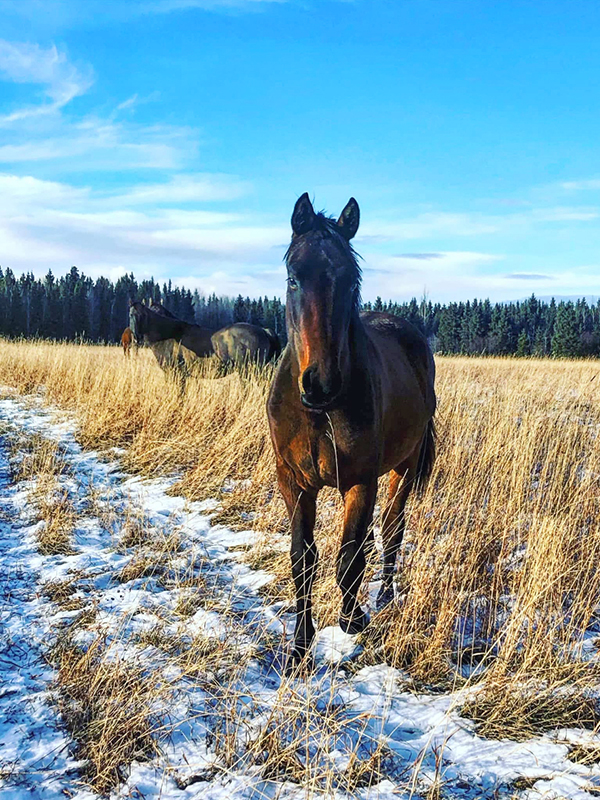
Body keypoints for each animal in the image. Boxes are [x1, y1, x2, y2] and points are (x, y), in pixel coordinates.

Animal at [267, 193, 436, 662]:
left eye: (350, 282)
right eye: (293, 278)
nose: (320, 384)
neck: (318, 414)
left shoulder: (360, 481)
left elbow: (348, 559)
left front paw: (352, 619)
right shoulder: (293, 481)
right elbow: (303, 559)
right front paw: (300, 645)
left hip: (404, 466)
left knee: (393, 530)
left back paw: (384, 598)